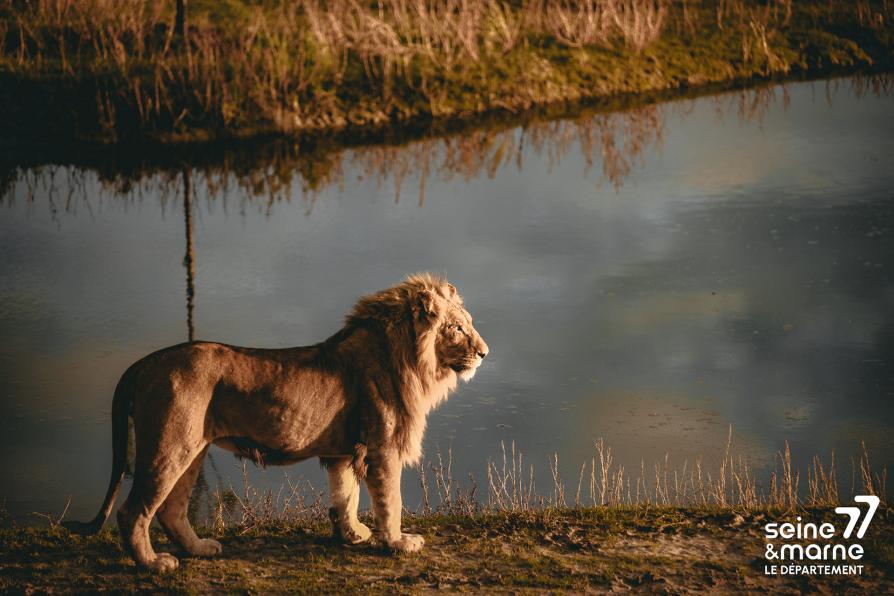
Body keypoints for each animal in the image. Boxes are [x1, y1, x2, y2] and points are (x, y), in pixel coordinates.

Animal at [63, 273, 488, 572]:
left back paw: (200, 549)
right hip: (169, 445)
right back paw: (153, 564)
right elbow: (391, 501)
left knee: (171, 510)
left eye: (468, 323)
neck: (409, 359)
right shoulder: (381, 448)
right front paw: (398, 542)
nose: (485, 352)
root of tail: (145, 361)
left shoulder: (344, 452)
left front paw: (353, 536)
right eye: (457, 328)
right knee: (133, 511)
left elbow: (345, 496)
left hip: (192, 448)